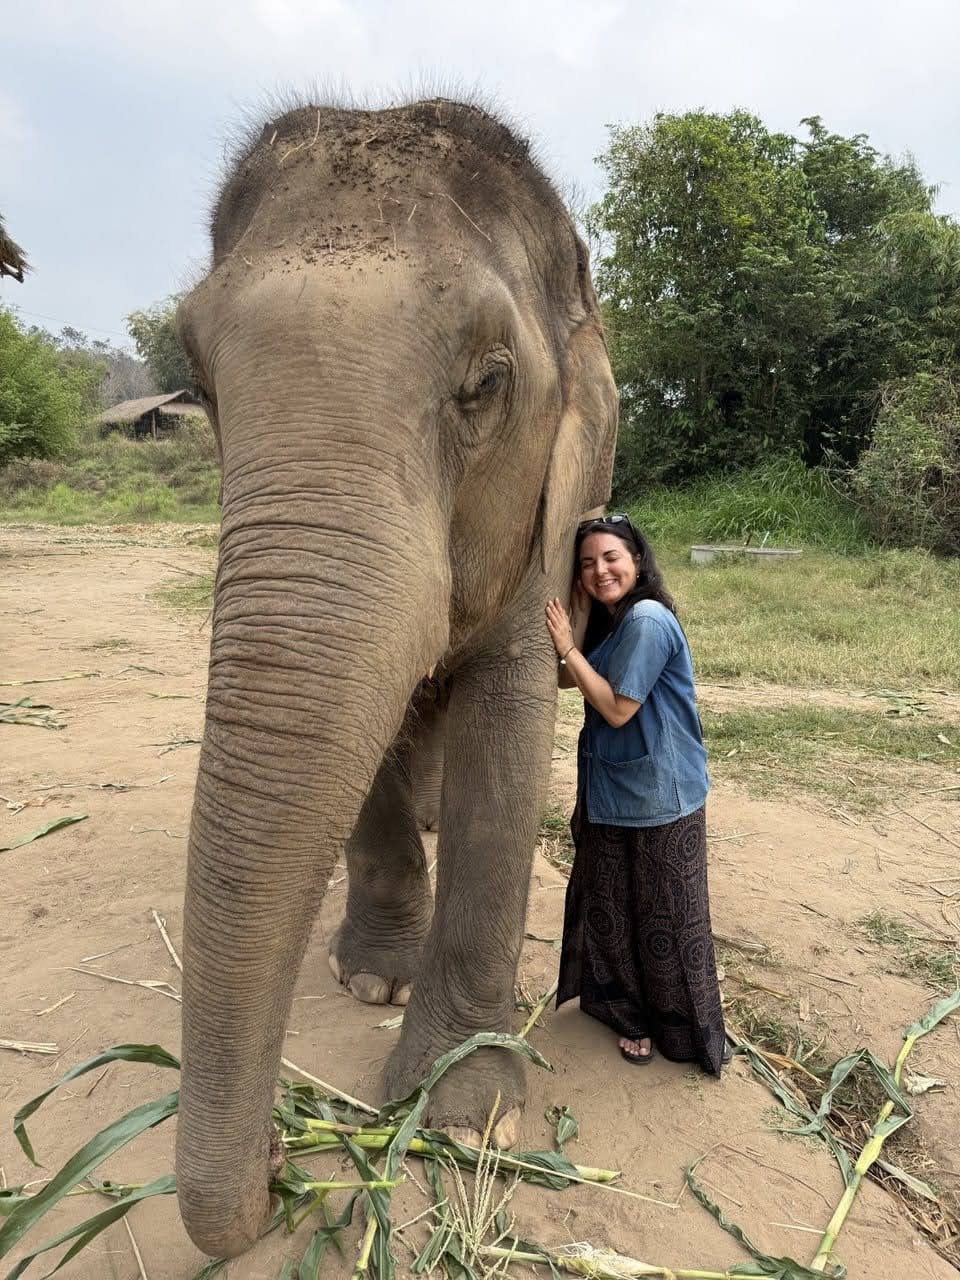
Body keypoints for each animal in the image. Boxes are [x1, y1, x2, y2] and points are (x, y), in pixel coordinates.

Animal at [174, 97, 618, 1260]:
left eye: (488, 382)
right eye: (200, 383)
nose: (278, 1156)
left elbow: (508, 724)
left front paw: (463, 1111)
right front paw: (371, 976)